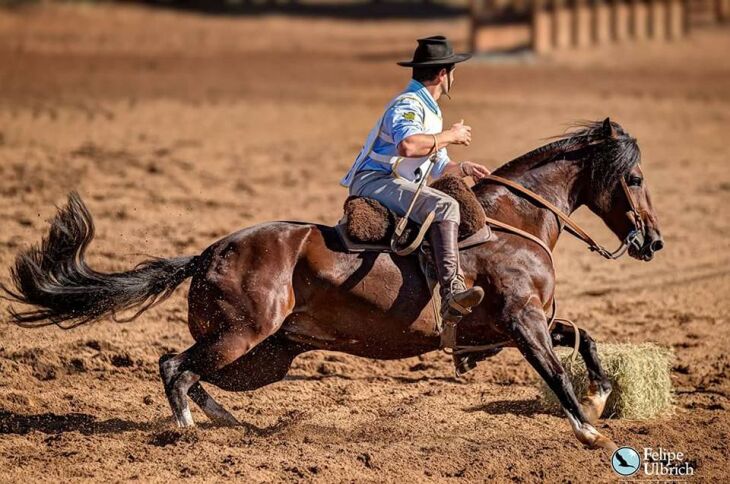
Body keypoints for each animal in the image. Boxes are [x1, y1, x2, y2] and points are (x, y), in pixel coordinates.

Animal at [0, 118, 660, 454]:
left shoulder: (517, 322)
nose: (652, 241)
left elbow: (585, 338)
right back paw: (188, 430)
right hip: (242, 336)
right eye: (634, 177)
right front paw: (588, 426)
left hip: (267, 354)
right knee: (174, 367)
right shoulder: (522, 322)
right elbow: (554, 369)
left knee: (191, 371)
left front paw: (602, 393)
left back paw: (228, 423)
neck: (508, 220)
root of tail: (211, 251)